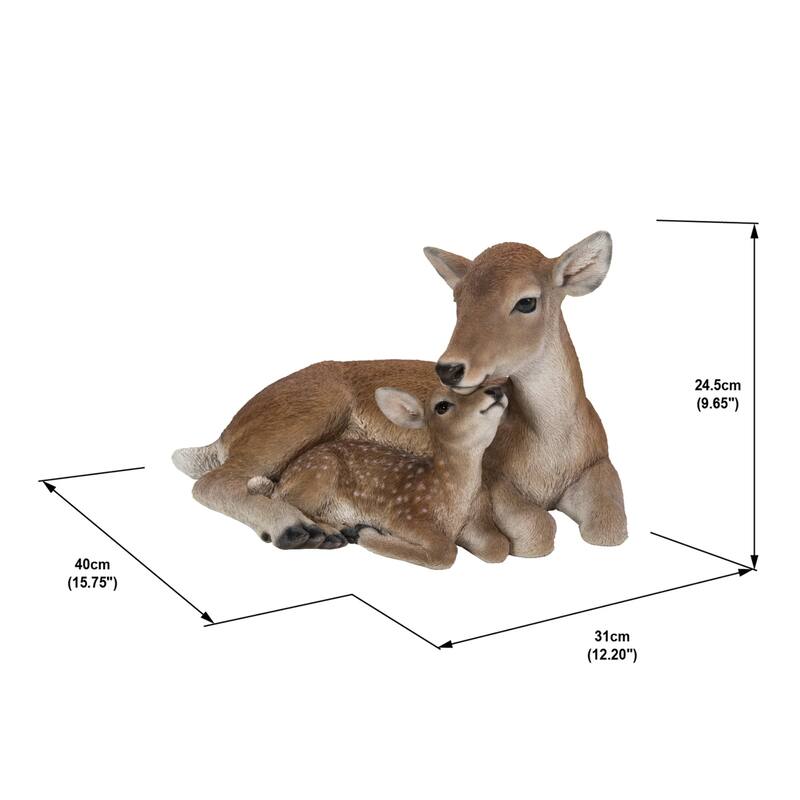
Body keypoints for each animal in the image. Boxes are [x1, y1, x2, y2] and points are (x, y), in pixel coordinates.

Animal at [244, 383, 508, 568]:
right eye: (442, 405)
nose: (496, 390)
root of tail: (285, 477)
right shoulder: (405, 514)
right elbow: (446, 552)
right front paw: (368, 533)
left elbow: (499, 548)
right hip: (322, 472)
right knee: (284, 500)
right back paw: (337, 531)